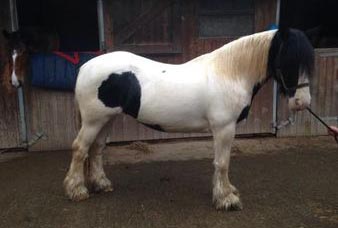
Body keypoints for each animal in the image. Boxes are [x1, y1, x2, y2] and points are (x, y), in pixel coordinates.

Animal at [64, 28, 314, 210]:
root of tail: (85, 67)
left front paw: (227, 192)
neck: (230, 73)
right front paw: (226, 199)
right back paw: (77, 190)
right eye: (288, 61)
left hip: (108, 119)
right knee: (80, 148)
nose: (302, 103)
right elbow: (222, 163)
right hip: (94, 120)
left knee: (96, 149)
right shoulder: (224, 128)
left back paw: (101, 184)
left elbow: (221, 163)